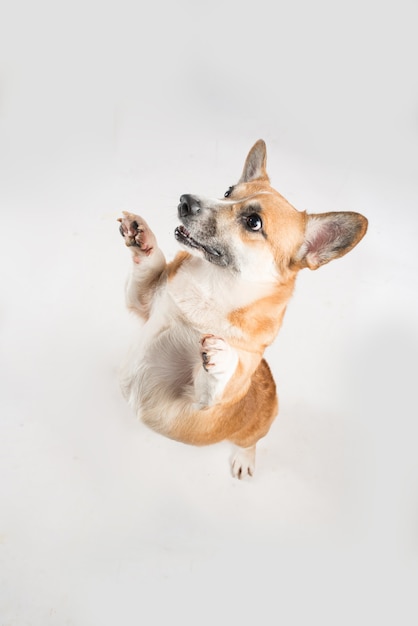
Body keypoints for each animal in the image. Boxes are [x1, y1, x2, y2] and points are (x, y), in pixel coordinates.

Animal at [116, 140, 366, 478]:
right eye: (227, 191)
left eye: (253, 222)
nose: (185, 200)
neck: (212, 286)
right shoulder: (143, 301)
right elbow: (149, 267)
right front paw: (143, 238)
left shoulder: (200, 404)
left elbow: (217, 380)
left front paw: (223, 356)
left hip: (252, 433)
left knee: (250, 443)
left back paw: (244, 459)